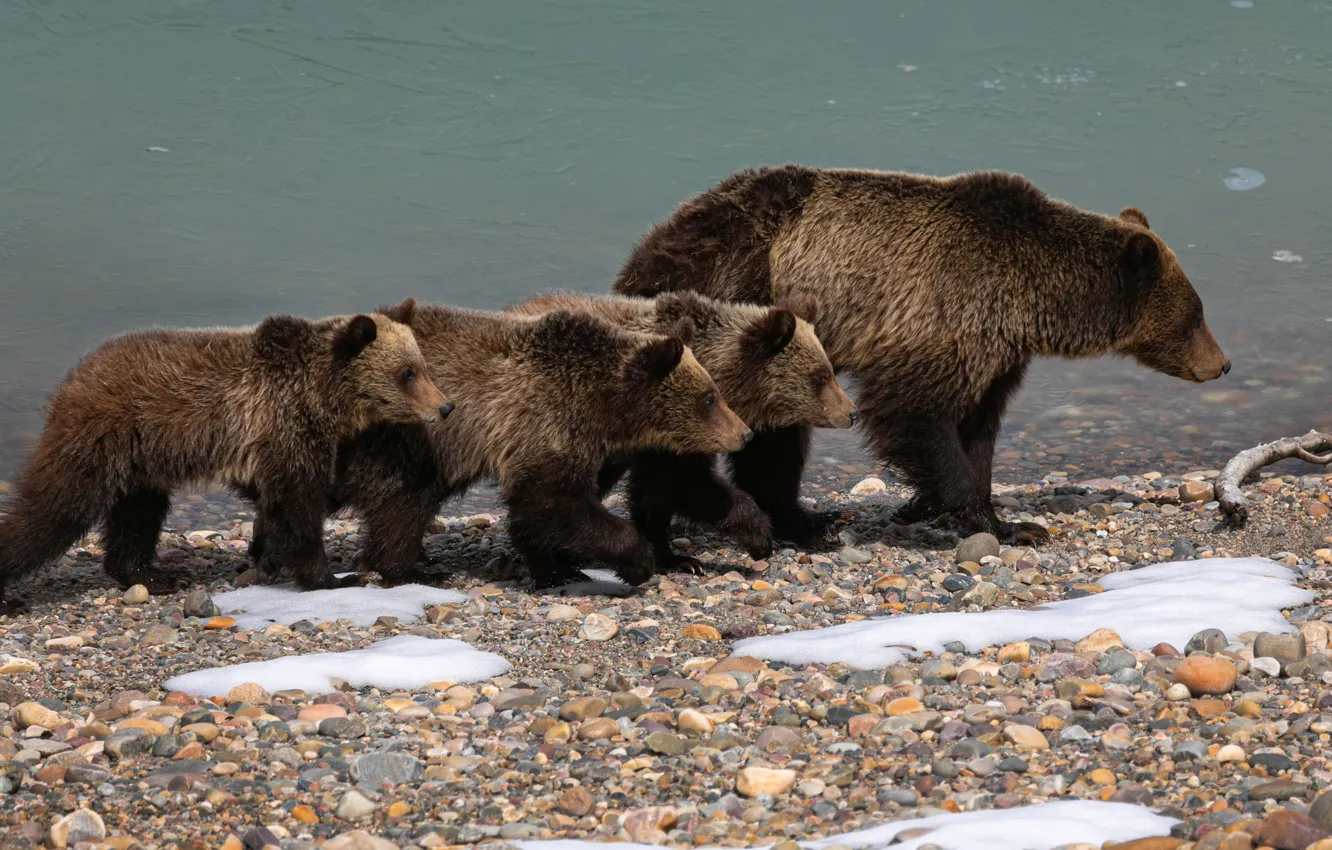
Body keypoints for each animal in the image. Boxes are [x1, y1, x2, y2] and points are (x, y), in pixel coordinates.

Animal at [0, 307, 450, 614]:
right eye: (407, 373)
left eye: (423, 367)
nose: (445, 407)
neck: (323, 395)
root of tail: (75, 375)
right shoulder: (284, 426)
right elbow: (298, 505)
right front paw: (331, 578)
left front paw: (269, 554)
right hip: (99, 435)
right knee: (54, 507)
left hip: (141, 460)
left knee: (138, 515)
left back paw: (154, 575)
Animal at [243, 300, 753, 590]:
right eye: (710, 398)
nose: (743, 432)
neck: (605, 405)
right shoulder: (544, 420)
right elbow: (552, 502)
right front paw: (635, 560)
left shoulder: (595, 442)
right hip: (404, 438)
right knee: (403, 501)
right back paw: (413, 568)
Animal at [504, 289, 856, 574]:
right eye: (820, 377)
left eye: (828, 371)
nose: (851, 412)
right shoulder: (676, 427)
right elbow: (682, 482)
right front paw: (754, 534)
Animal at [615, 164, 1231, 546]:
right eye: (1197, 314)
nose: (1222, 363)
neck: (1031, 297)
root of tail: (646, 251)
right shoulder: (947, 314)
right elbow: (915, 412)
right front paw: (998, 522)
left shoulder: (996, 353)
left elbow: (978, 427)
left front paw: (946, 504)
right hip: (740, 305)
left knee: (777, 436)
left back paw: (804, 518)